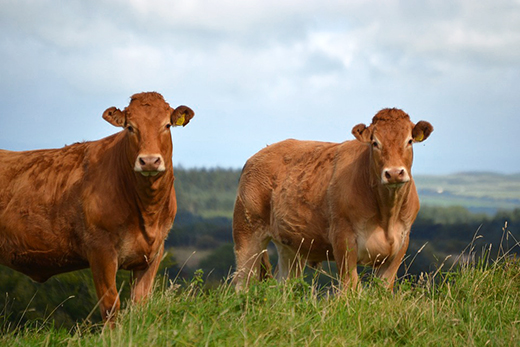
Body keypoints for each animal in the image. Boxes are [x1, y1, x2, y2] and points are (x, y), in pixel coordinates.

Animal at [0, 91, 194, 322]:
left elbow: (140, 304)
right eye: (130, 127)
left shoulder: (153, 253)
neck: (147, 214)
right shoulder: (100, 249)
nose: (149, 161)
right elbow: (111, 305)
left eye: (166, 125)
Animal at [234, 108, 432, 290]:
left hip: (290, 246)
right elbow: (351, 288)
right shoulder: (343, 239)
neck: (386, 216)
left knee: (283, 284)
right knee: (243, 281)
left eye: (409, 141)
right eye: (375, 143)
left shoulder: (400, 245)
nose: (394, 173)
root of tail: (259, 154)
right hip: (247, 233)